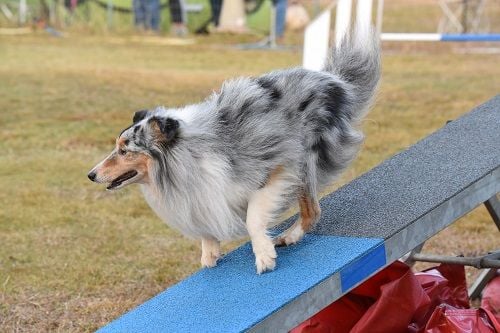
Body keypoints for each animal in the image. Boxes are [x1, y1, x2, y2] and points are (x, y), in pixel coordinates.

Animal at [89, 30, 378, 272]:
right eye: (117, 147)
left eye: (124, 150)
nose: (90, 175)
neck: (189, 153)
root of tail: (335, 80)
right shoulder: (202, 191)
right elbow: (205, 223)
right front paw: (209, 256)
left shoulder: (277, 167)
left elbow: (253, 218)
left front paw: (264, 256)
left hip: (305, 160)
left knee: (313, 210)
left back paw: (288, 236)